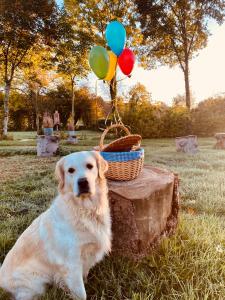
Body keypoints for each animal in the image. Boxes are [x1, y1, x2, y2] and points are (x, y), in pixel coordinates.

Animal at [0, 151, 111, 300]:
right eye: (71, 170)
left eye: (90, 166)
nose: (82, 182)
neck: (84, 209)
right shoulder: (72, 263)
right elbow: (81, 292)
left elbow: (84, 277)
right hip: (35, 285)